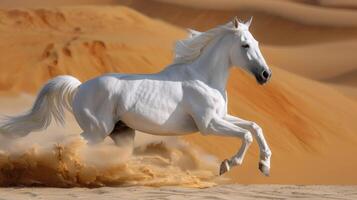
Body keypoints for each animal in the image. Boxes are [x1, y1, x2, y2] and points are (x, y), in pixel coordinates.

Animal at [1, 17, 272, 177]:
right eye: (245, 45)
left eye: (258, 42)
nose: (265, 75)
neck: (203, 77)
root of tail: (79, 88)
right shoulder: (209, 125)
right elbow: (246, 135)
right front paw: (227, 165)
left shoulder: (222, 117)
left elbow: (255, 127)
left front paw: (265, 166)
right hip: (96, 131)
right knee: (69, 144)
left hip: (121, 133)